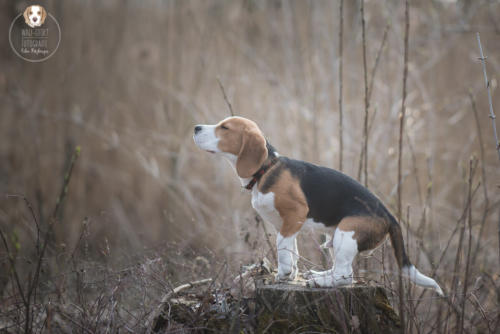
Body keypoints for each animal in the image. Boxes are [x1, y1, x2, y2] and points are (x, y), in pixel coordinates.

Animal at [193, 115, 444, 294]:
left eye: (225, 128)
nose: (196, 127)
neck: (266, 169)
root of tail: (389, 215)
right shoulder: (285, 224)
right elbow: (291, 249)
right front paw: (291, 274)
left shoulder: (294, 214)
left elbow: (283, 248)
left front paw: (283, 274)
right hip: (333, 238)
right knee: (338, 270)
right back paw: (318, 276)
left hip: (346, 233)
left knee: (345, 276)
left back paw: (320, 284)